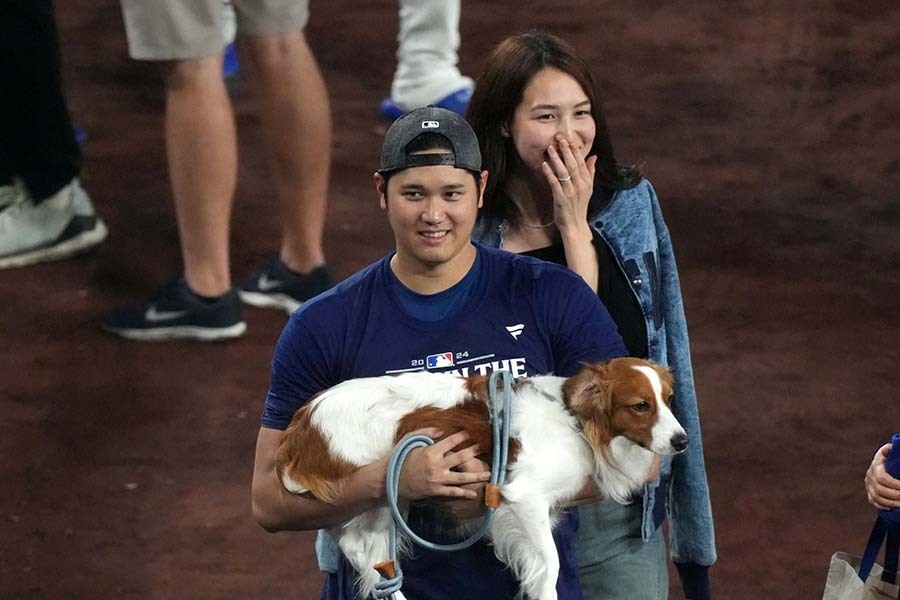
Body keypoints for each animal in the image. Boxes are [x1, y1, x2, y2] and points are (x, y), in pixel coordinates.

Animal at [278, 358, 684, 596]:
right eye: (641, 406)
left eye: (668, 399)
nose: (682, 441)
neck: (575, 420)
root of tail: (301, 426)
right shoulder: (524, 498)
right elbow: (550, 565)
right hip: (378, 491)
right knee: (365, 554)